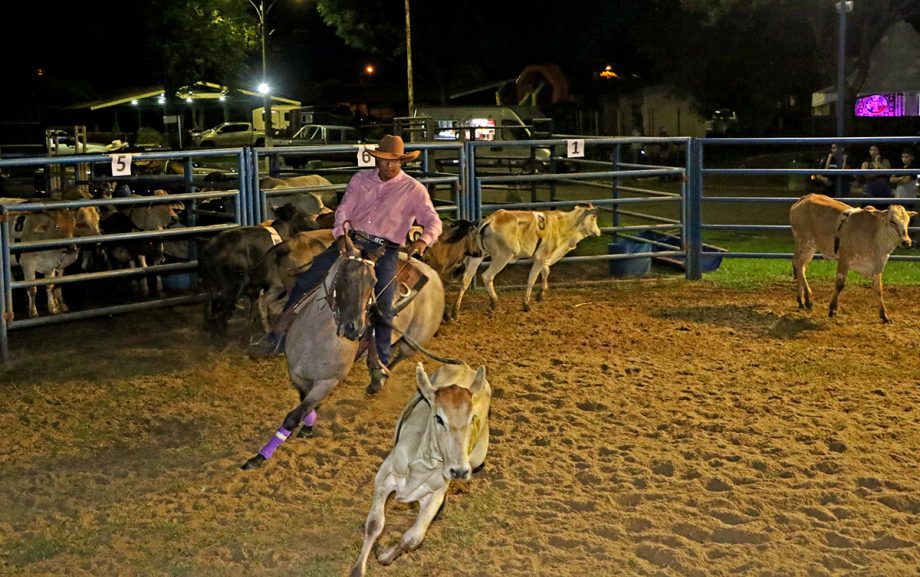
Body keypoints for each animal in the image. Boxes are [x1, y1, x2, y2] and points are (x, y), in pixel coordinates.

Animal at [241, 242, 446, 468]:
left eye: (373, 281)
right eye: (345, 277)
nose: (354, 328)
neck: (316, 337)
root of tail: (432, 272)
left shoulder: (328, 382)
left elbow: (293, 416)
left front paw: (259, 457)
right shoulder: (297, 373)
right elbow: (305, 403)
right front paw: (308, 427)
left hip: (414, 340)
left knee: (398, 357)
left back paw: (378, 379)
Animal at [348, 362, 488, 572]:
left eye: (472, 418)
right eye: (439, 418)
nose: (459, 471)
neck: (425, 462)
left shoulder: (435, 494)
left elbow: (413, 538)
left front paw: (384, 555)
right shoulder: (384, 477)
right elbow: (374, 524)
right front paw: (358, 569)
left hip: (477, 459)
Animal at [452, 204, 604, 316]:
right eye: (594, 217)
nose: (599, 232)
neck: (562, 224)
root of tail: (491, 219)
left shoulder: (540, 257)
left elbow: (546, 272)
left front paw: (541, 294)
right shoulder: (541, 257)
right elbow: (532, 279)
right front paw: (527, 305)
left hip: (477, 256)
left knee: (466, 279)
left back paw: (455, 310)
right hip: (502, 257)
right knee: (487, 276)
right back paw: (494, 302)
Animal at [788, 191, 916, 322]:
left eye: (907, 222)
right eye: (892, 221)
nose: (906, 242)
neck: (874, 235)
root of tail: (806, 197)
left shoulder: (877, 266)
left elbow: (878, 289)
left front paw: (884, 316)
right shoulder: (844, 258)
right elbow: (840, 284)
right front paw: (832, 310)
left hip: (811, 248)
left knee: (801, 267)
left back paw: (802, 300)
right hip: (803, 242)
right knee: (798, 264)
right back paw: (808, 299)